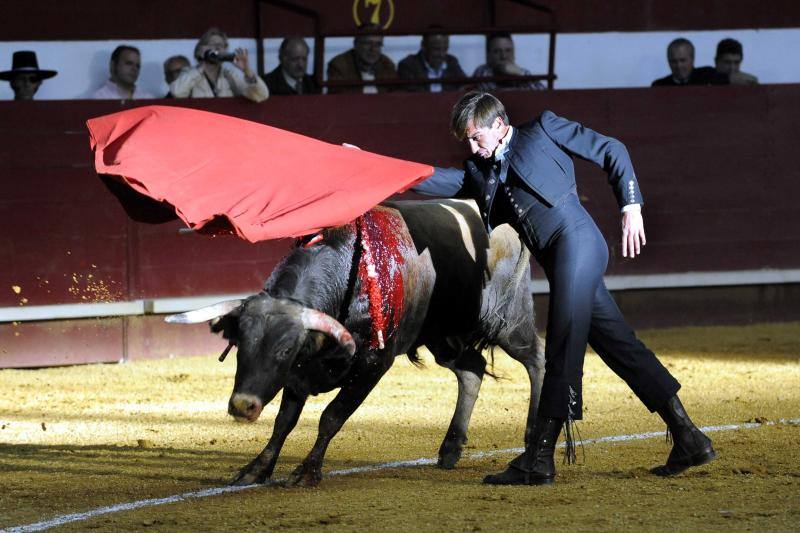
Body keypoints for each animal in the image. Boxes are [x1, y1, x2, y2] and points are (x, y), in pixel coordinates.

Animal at [167, 197, 544, 484]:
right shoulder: (301, 373)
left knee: (536, 360)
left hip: (509, 321)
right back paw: (450, 447)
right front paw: (256, 469)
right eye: (241, 345)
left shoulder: (372, 366)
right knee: (472, 369)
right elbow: (284, 422)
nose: (242, 405)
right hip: (442, 336)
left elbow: (331, 417)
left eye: (285, 349)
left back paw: (532, 441)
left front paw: (307, 472)